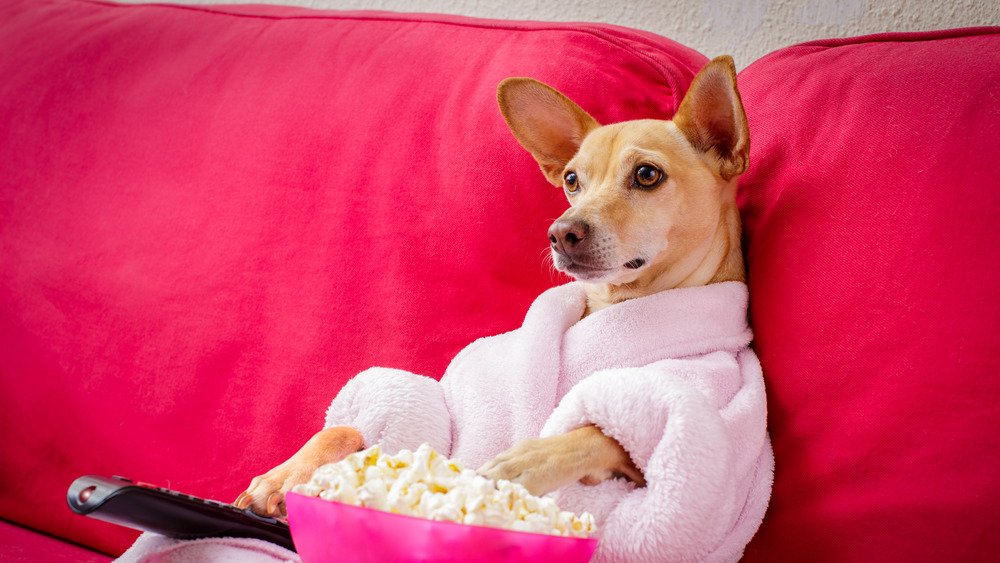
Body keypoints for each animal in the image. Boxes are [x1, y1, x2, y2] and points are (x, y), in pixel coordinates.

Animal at [238, 56, 768, 560]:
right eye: (572, 180)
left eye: (647, 175)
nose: (561, 232)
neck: (615, 306)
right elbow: (351, 429)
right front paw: (289, 473)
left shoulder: (705, 444)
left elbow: (601, 432)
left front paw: (526, 462)